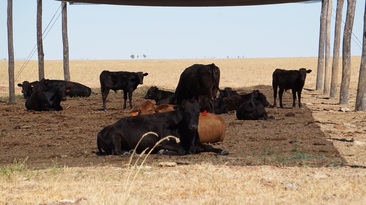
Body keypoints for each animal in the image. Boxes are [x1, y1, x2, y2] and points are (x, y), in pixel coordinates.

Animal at [97, 99, 229, 155]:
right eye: (185, 112)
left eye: (198, 112)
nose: (193, 126)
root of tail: (100, 132)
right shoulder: (161, 142)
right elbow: (181, 150)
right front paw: (163, 152)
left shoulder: (198, 144)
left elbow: (209, 146)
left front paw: (222, 150)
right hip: (115, 136)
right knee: (117, 151)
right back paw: (127, 152)